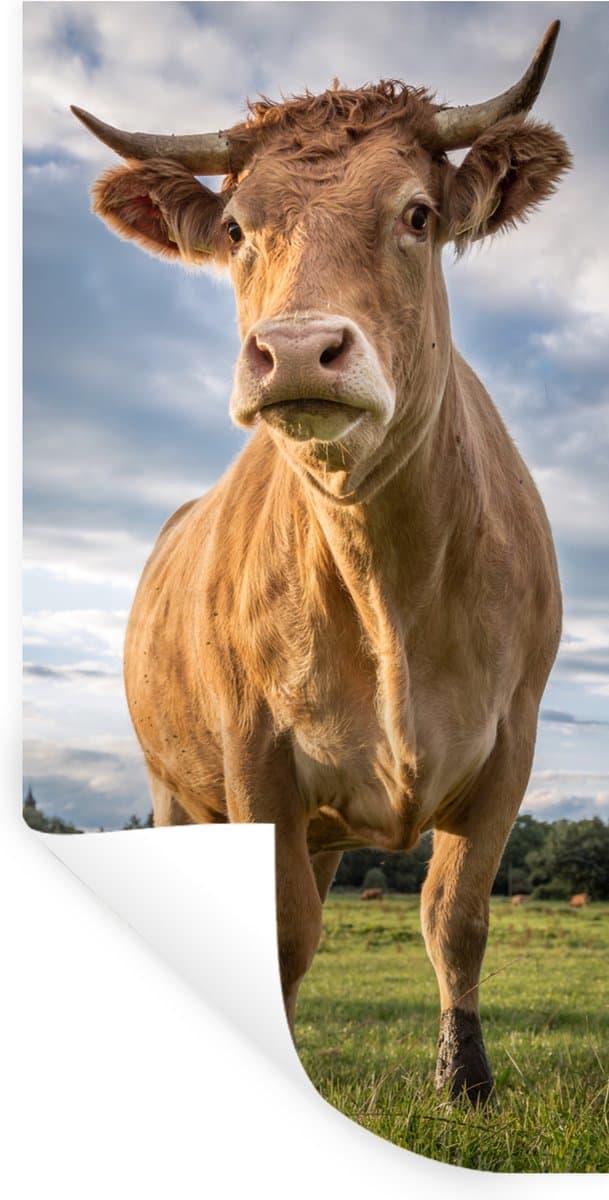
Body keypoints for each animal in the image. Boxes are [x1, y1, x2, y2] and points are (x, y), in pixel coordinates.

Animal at [72, 20, 569, 1104]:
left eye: (417, 213)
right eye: (233, 230)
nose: (298, 350)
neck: (390, 584)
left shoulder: (510, 744)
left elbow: (455, 915)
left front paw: (464, 1079)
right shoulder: (254, 751)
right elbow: (283, 928)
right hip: (176, 787)